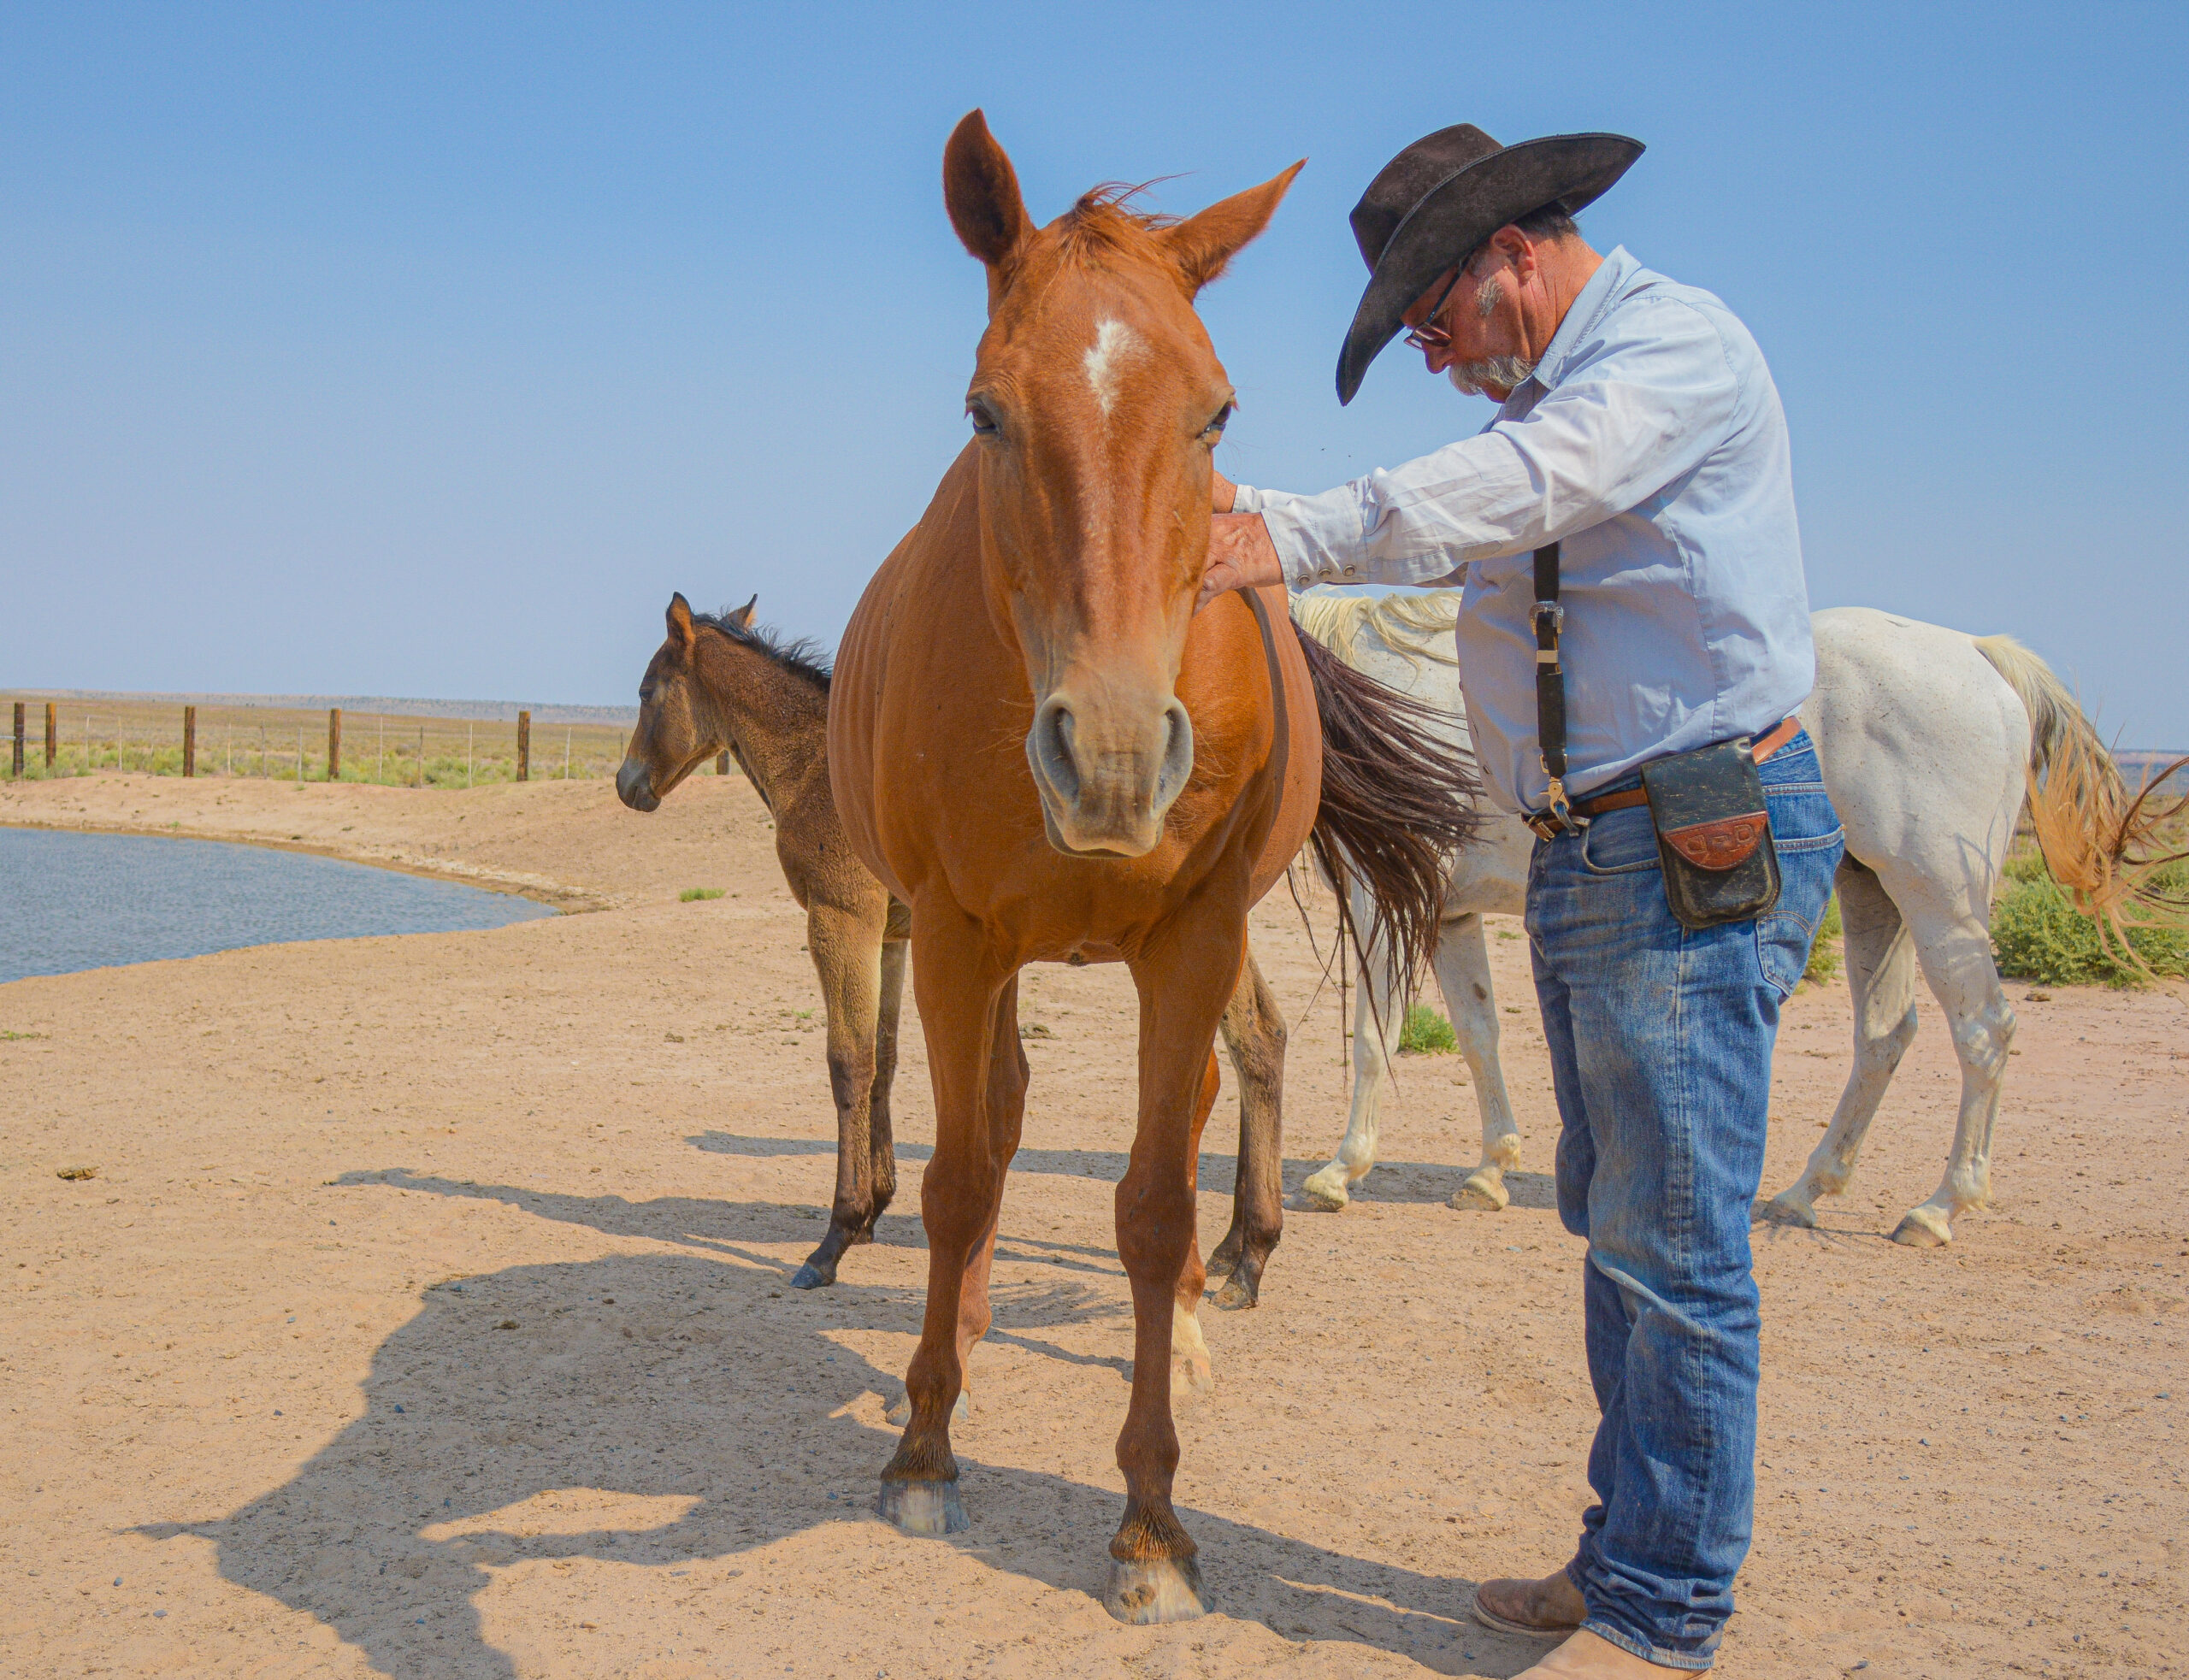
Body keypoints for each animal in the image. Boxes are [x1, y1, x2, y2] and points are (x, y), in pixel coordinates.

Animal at [613, 589, 1300, 1313]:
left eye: (647, 690)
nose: (627, 784)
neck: (817, 763)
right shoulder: (891, 935)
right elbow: (885, 1060)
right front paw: (875, 1207)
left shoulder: (840, 919)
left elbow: (848, 1062)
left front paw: (836, 1235)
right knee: (1261, 1039)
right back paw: (1238, 1250)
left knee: (1248, 1042)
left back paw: (1245, 1256)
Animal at [827, 112, 1475, 1623]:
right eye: (985, 412)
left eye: (1218, 413)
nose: (1116, 752)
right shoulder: (954, 937)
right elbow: (960, 1177)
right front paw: (925, 1447)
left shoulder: (1189, 938)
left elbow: (1154, 1201)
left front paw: (1150, 1522)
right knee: (997, 1130)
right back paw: (969, 1330)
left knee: (1189, 1124)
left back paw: (1179, 1325)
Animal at [1291, 592, 2180, 1247]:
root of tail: (1977, 652)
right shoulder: (1450, 914)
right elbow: (1479, 1034)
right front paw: (1489, 1171)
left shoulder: (1383, 903)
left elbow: (1373, 1035)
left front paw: (1340, 1171)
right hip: (1875, 896)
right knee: (1885, 1035)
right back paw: (1804, 1191)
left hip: (1940, 898)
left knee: (1984, 1032)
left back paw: (1939, 1208)